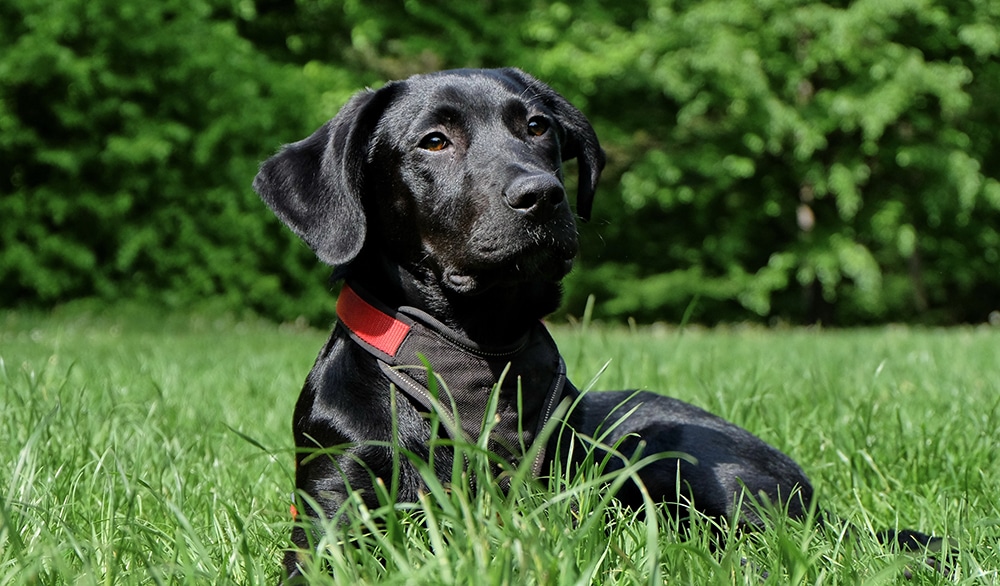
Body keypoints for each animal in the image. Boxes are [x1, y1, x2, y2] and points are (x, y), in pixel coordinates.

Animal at [256, 67, 936, 576]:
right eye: (434, 141)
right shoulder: (332, 507)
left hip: (679, 460)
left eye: (537, 126)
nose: (542, 195)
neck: (472, 356)